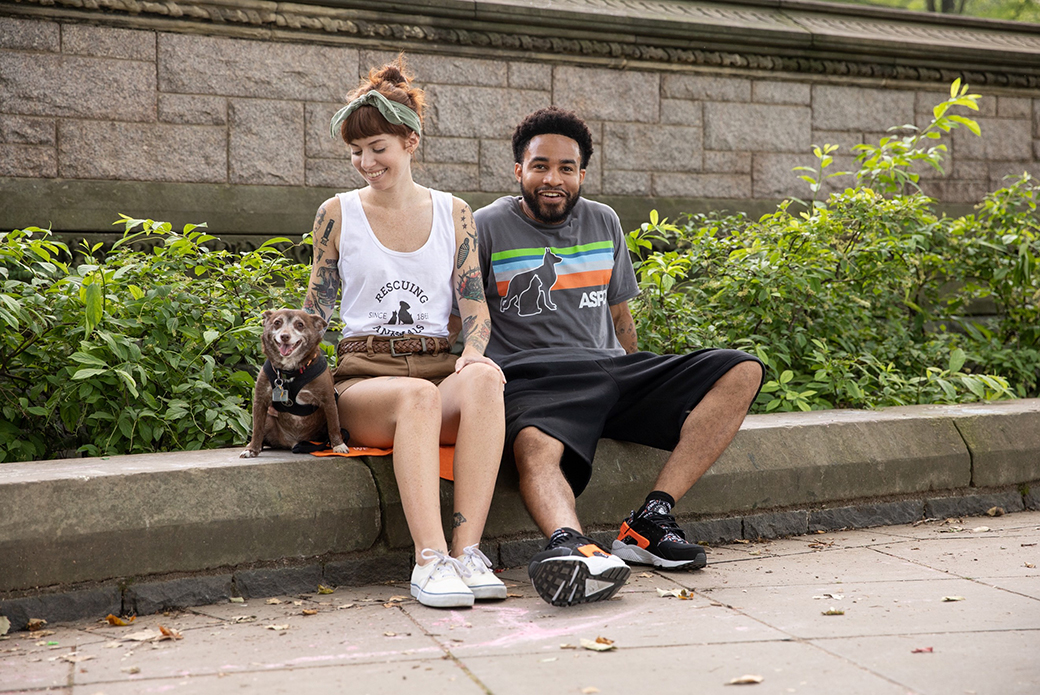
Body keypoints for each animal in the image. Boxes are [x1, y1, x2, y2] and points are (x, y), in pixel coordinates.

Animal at [239, 310, 349, 455]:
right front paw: (252, 449)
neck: (290, 371)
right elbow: (257, 428)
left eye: (300, 324)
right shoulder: (260, 400)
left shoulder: (328, 400)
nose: (284, 336)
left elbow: (334, 425)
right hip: (269, 419)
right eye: (277, 322)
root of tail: (292, 443)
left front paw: (338, 445)